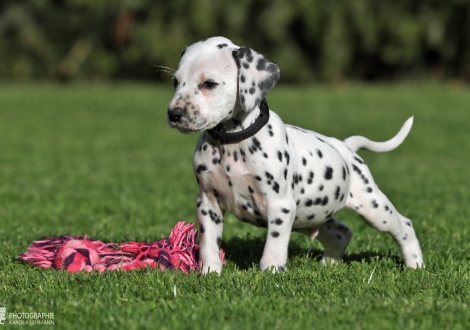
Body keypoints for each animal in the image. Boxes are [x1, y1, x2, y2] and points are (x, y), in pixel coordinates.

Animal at [167, 36, 424, 274]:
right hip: (314, 215)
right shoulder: (207, 203)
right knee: (341, 233)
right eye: (175, 82)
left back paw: (415, 265)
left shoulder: (280, 206)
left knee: (404, 226)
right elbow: (209, 243)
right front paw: (209, 272)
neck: (231, 144)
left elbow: (274, 245)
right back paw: (329, 264)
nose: (173, 114)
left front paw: (270, 272)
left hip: (373, 208)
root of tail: (345, 147)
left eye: (209, 83)